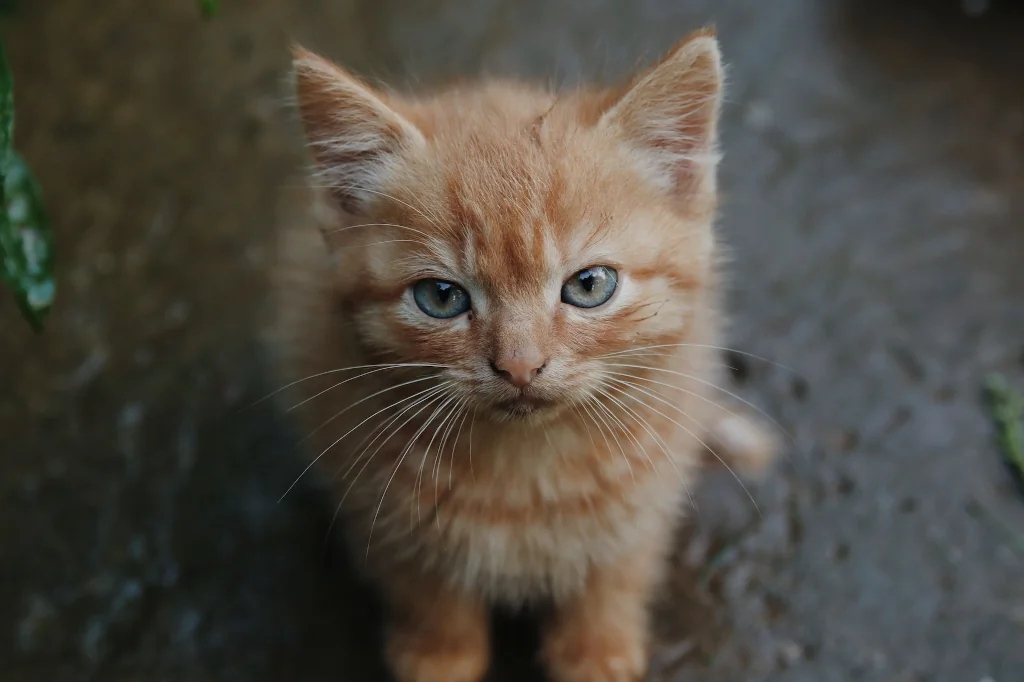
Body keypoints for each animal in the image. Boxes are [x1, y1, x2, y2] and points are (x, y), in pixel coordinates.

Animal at [268, 29, 770, 679]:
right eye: (441, 297)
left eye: (590, 286)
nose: (519, 366)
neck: (526, 472)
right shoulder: (376, 501)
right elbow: (426, 586)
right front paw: (440, 653)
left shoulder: (646, 493)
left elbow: (614, 571)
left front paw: (595, 650)